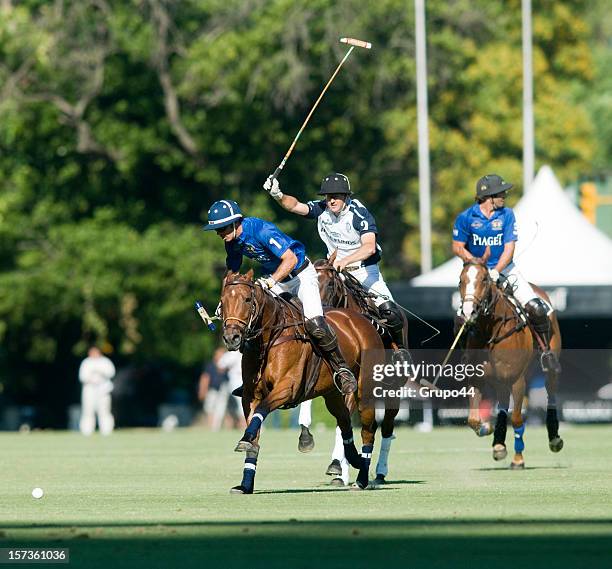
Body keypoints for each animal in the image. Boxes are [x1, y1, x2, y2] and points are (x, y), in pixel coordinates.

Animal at [220, 268, 382, 490]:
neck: (268, 339)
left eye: (247, 299)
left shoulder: (287, 388)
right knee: (344, 422)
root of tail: (362, 319)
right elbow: (254, 433)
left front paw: (244, 440)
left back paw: (363, 477)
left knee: (368, 431)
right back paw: (352, 460)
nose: (231, 338)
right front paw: (245, 484)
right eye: (223, 301)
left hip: (364, 390)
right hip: (332, 394)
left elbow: (262, 410)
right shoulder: (250, 395)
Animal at [316, 258, 412, 484]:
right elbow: (343, 421)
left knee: (387, 428)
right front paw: (338, 470)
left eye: (331, 284)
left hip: (393, 390)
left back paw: (380, 472)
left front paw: (338, 465)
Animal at [460, 253, 564, 466]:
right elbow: (473, 419)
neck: (490, 331)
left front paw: (518, 459)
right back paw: (499, 444)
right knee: (501, 402)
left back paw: (554, 439)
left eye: (484, 279)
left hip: (548, 363)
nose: (468, 312)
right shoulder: (477, 377)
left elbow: (516, 418)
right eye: (460, 280)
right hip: (501, 380)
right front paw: (487, 428)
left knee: (551, 392)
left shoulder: (517, 379)